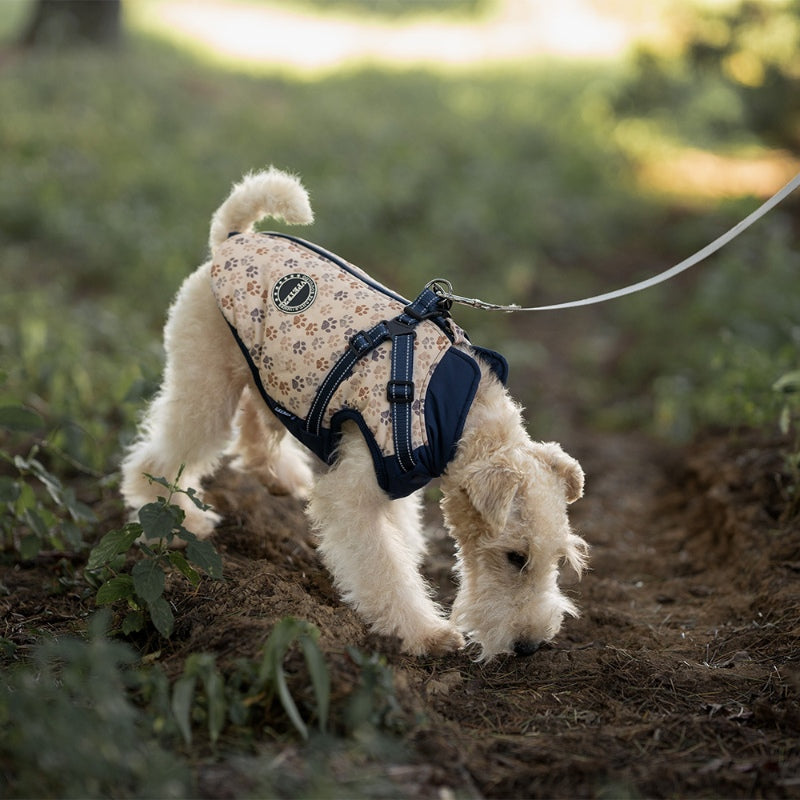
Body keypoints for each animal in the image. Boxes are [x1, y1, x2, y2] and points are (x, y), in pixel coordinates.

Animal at [122, 166, 592, 660]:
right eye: (515, 556)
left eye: (561, 559)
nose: (530, 646)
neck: (457, 416)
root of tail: (233, 237)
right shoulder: (354, 492)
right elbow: (382, 567)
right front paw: (426, 633)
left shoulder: (395, 482)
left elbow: (401, 543)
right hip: (207, 384)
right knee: (161, 457)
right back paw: (180, 523)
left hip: (268, 374)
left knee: (254, 428)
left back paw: (280, 477)